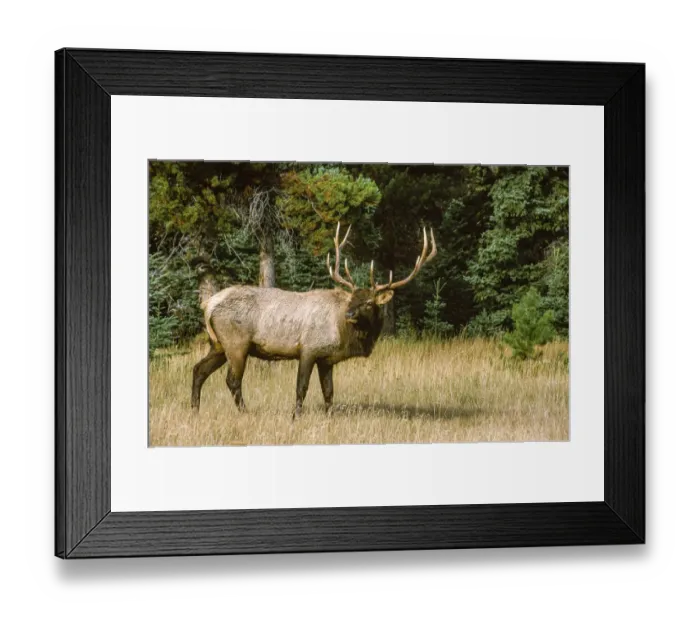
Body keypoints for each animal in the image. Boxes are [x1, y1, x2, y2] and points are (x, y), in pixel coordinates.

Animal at [191, 222, 437, 419]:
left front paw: (330, 418)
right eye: (352, 299)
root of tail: (209, 304)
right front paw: (295, 417)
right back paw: (245, 412)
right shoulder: (309, 349)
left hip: (218, 344)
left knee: (198, 369)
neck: (342, 335)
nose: (350, 315)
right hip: (236, 343)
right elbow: (302, 387)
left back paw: (195, 410)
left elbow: (329, 391)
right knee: (232, 380)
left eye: (368, 302)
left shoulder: (326, 359)